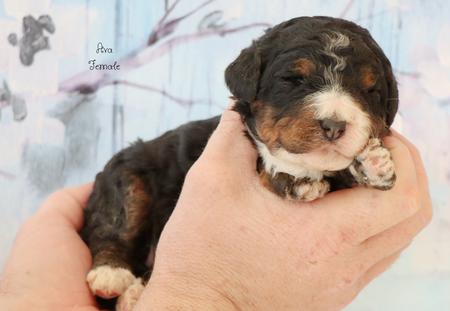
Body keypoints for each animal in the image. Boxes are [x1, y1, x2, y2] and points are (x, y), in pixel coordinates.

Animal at [81, 16, 398, 310]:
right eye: (293, 80)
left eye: (370, 90)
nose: (334, 126)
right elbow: (269, 164)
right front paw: (296, 180)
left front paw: (372, 164)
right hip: (127, 179)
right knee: (113, 225)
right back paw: (113, 276)